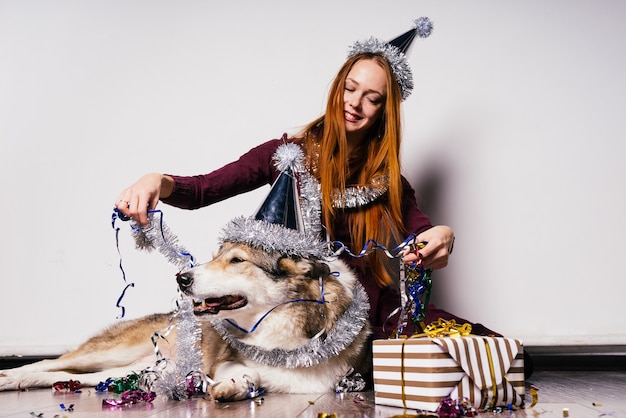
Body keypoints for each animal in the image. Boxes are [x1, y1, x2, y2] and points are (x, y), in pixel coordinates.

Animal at [0, 240, 370, 400]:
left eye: (237, 260)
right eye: (216, 256)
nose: (181, 278)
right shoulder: (224, 362)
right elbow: (246, 372)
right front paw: (232, 385)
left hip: (138, 370)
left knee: (73, 377)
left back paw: (21, 382)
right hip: (112, 351)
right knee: (50, 362)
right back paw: (10, 376)